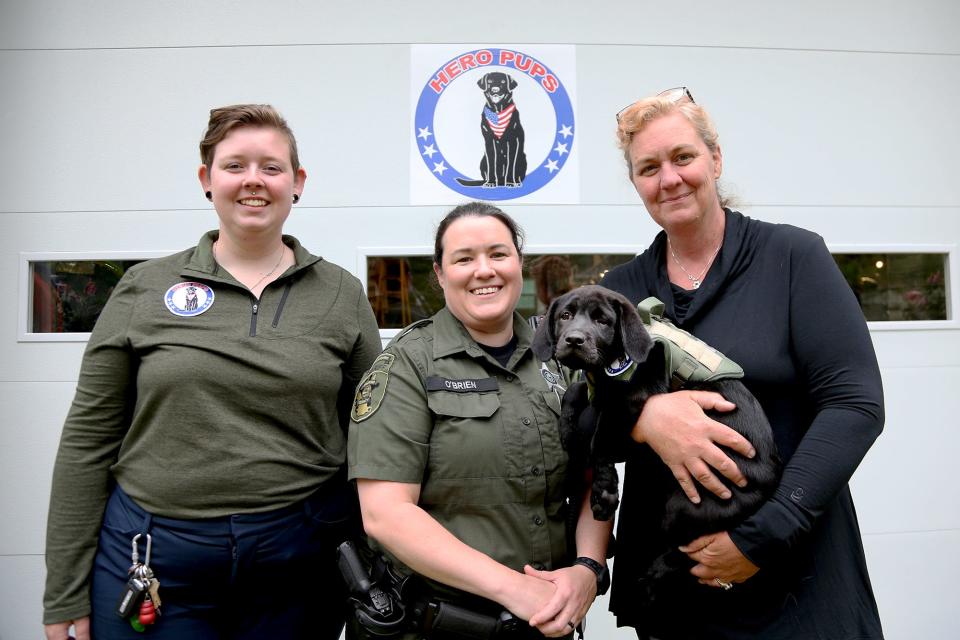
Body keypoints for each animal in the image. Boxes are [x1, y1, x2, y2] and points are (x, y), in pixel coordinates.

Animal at [532, 284, 780, 596]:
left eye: (603, 321)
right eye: (565, 315)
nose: (574, 339)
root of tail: (773, 480)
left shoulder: (636, 391)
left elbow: (601, 437)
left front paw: (604, 491)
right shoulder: (601, 388)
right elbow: (576, 391)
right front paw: (566, 428)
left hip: (688, 506)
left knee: (695, 552)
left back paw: (654, 574)